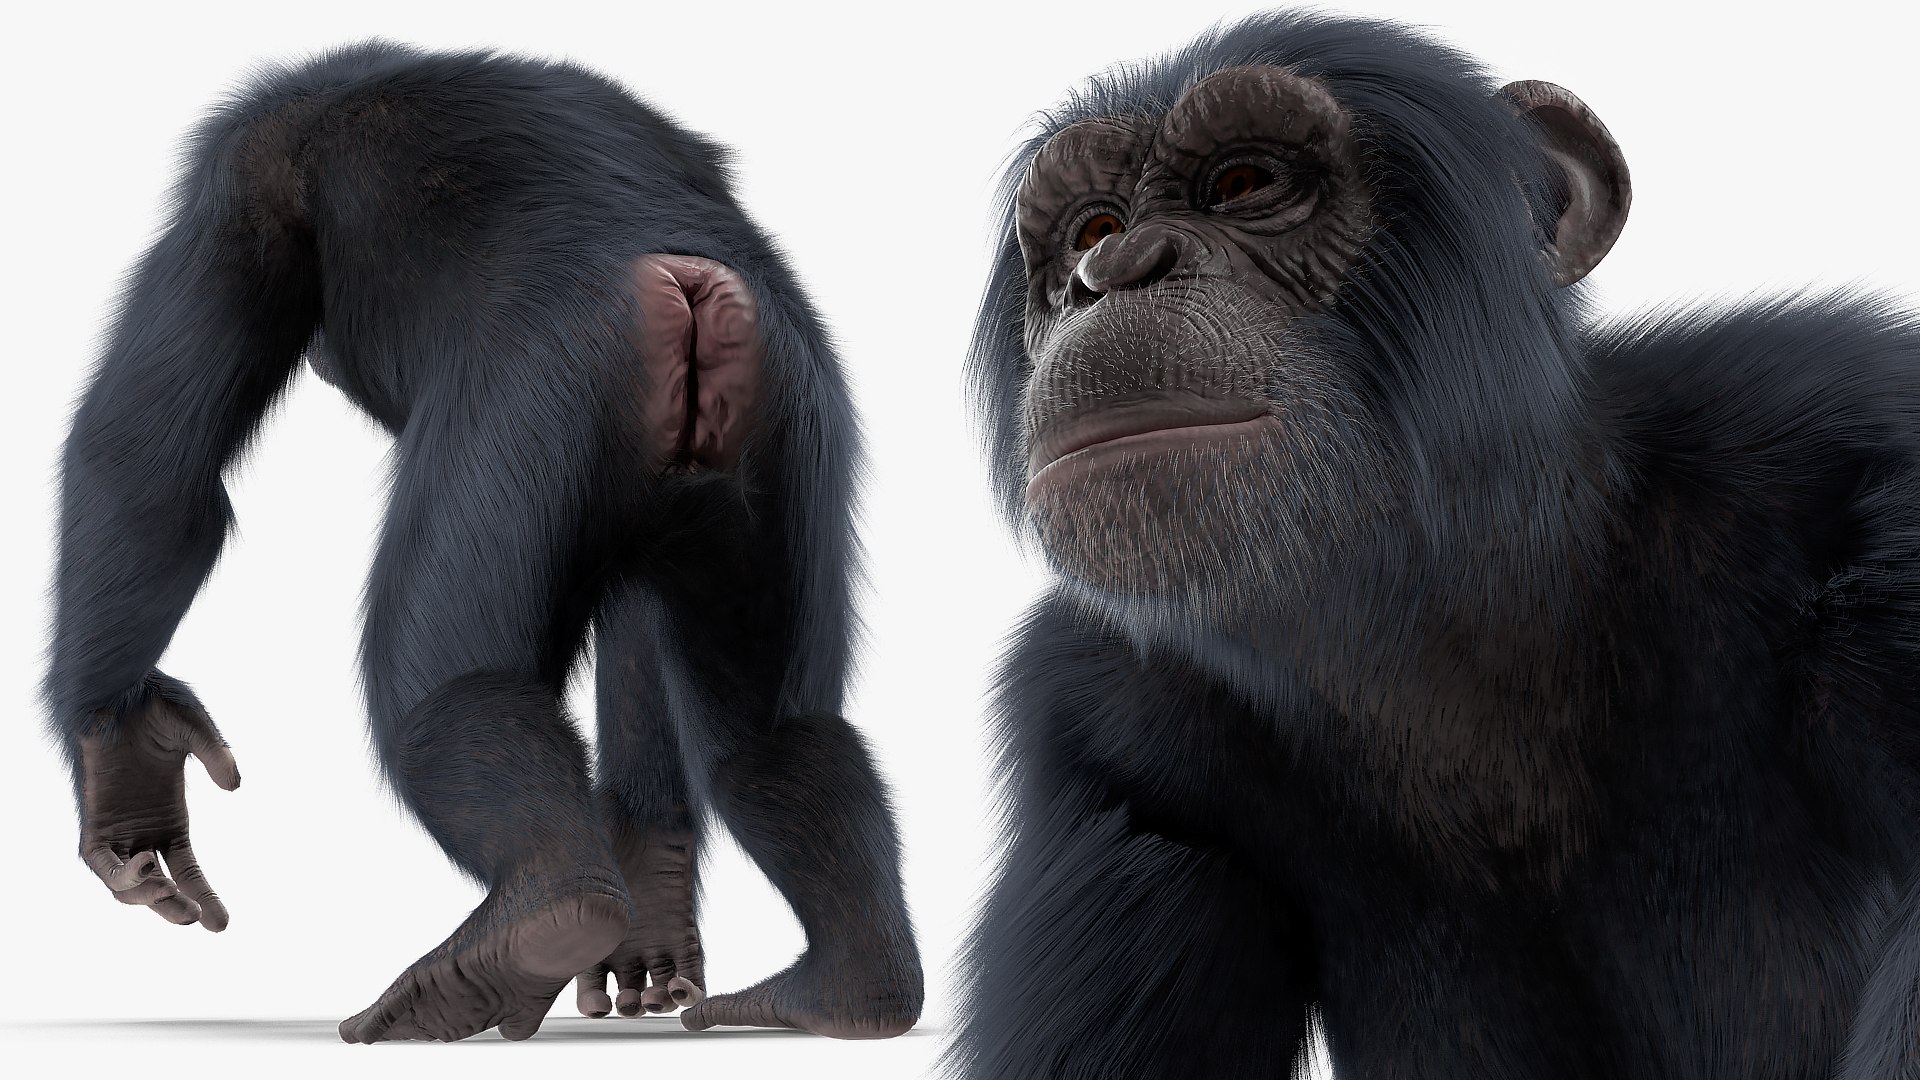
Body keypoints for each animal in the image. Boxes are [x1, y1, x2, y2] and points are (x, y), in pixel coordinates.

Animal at [45, 41, 922, 1044]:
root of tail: (681, 286)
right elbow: (640, 629)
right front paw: (654, 921)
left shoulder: (246, 174)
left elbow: (148, 467)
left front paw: (124, 763)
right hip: (786, 430)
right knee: (772, 737)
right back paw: (848, 987)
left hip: (530, 404)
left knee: (441, 689)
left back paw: (532, 925)